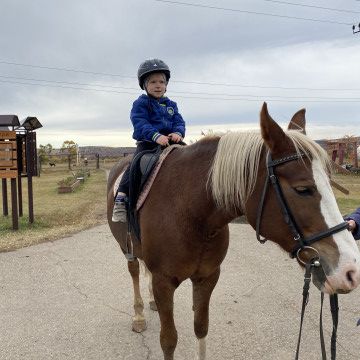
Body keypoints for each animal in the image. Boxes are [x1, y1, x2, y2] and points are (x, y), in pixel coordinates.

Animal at [107, 102, 360, 360]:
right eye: (302, 189)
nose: (350, 271)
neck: (190, 212)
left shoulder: (207, 277)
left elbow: (201, 328)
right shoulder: (163, 282)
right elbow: (168, 341)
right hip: (126, 247)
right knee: (134, 271)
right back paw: (138, 316)